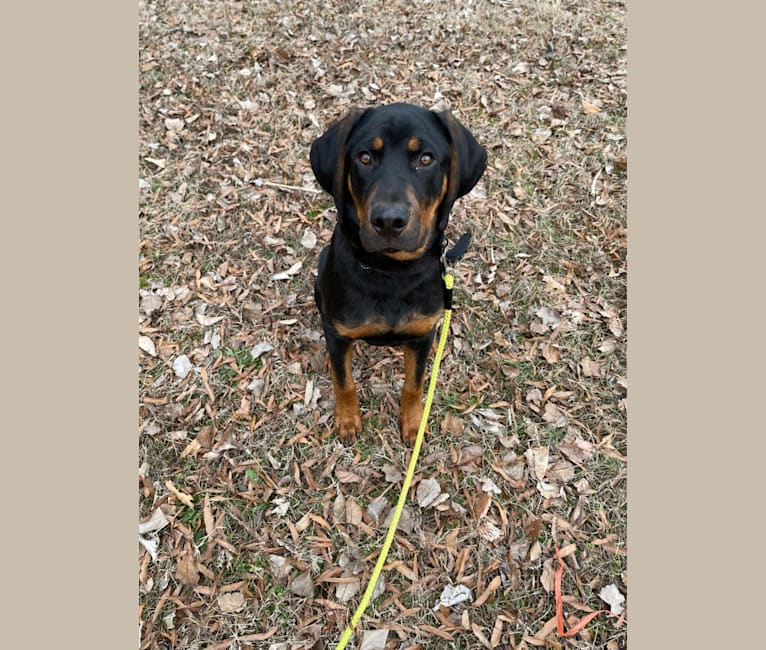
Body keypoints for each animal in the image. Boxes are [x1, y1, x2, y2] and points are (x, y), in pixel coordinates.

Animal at [310, 102, 486, 446]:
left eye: (426, 159)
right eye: (364, 157)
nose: (389, 221)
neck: (391, 272)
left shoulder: (422, 336)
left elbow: (414, 385)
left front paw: (414, 423)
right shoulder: (341, 332)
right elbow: (344, 381)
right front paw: (348, 419)